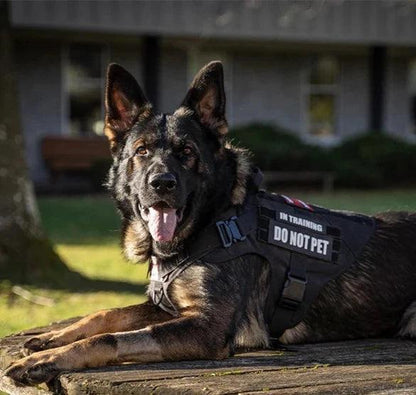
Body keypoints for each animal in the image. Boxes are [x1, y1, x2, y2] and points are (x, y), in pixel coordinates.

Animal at [5, 62, 416, 386]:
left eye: (186, 152)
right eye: (141, 151)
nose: (162, 184)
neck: (211, 223)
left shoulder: (206, 327)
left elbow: (109, 338)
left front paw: (46, 360)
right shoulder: (168, 307)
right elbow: (105, 315)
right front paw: (50, 339)